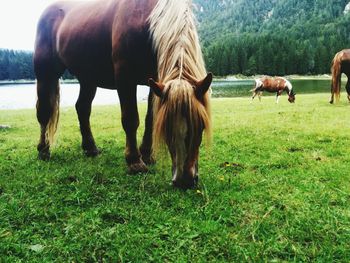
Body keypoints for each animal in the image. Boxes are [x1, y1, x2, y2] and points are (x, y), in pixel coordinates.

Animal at [34, 0, 212, 190]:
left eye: (201, 125)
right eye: (166, 128)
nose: (185, 180)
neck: (144, 18)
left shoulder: (156, 82)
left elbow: (150, 119)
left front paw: (147, 155)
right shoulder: (125, 78)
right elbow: (131, 119)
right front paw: (135, 162)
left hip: (88, 78)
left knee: (82, 108)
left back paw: (90, 148)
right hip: (46, 74)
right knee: (44, 112)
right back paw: (43, 150)